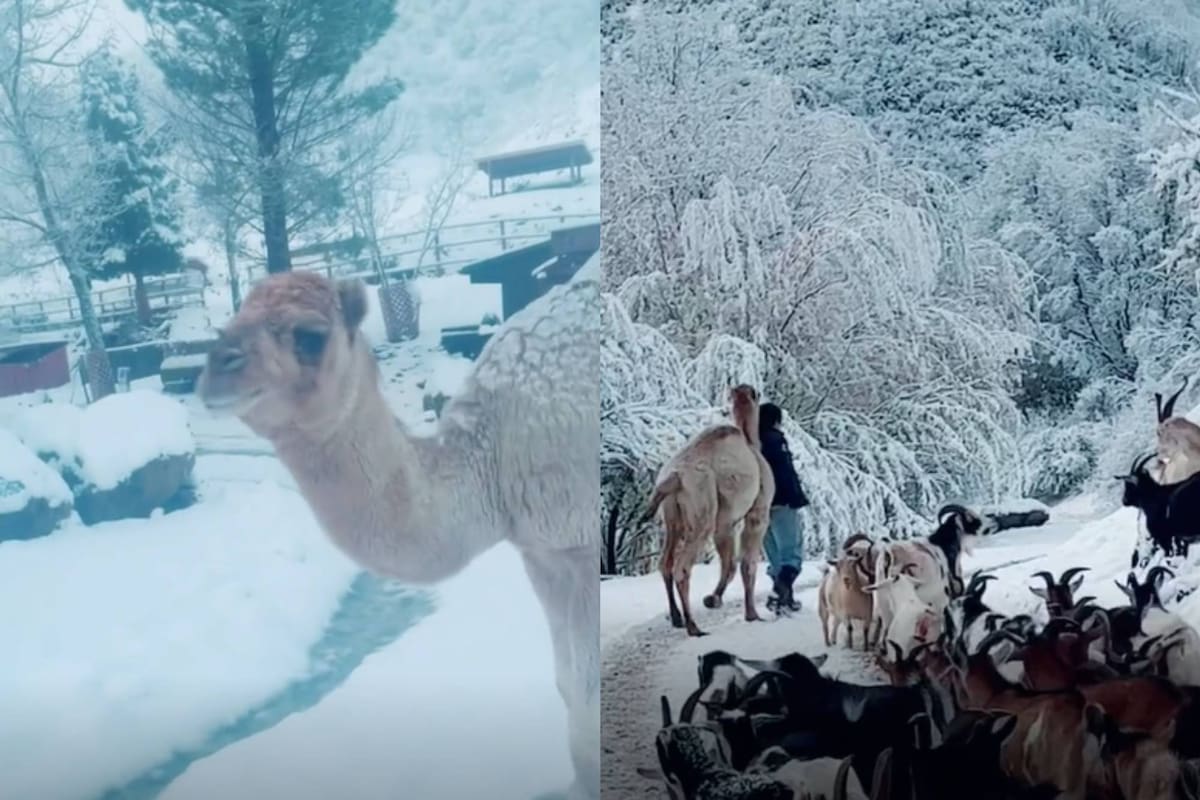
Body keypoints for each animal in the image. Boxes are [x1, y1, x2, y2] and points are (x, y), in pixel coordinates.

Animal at [196, 266, 599, 800]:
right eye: (232, 317)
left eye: (310, 334)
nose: (218, 365)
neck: (491, 460)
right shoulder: (541, 551)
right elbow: (567, 685)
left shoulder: (581, 545)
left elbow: (587, 698)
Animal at [646, 384, 775, 636]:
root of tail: (674, 477)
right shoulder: (758, 510)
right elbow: (746, 564)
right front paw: (751, 614)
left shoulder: (725, 521)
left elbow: (729, 563)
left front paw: (713, 599)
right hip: (702, 505)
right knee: (683, 567)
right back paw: (693, 626)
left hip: (672, 516)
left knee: (665, 562)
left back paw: (676, 617)